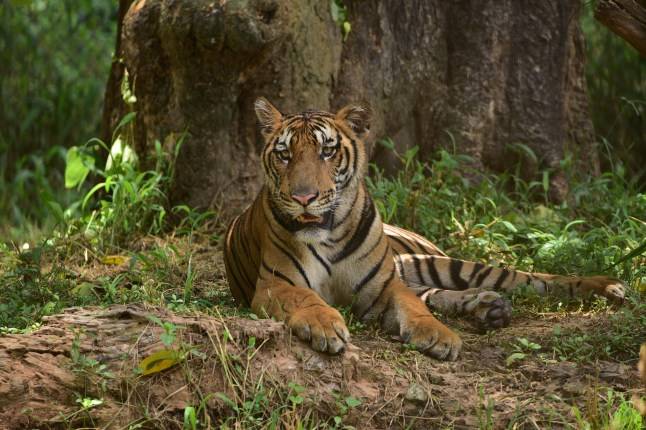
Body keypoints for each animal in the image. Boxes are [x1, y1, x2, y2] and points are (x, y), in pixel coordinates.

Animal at [223, 97, 626, 361]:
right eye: (284, 154)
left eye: (327, 151)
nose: (304, 197)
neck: (329, 234)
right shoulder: (275, 285)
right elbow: (307, 298)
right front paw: (324, 325)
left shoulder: (384, 286)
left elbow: (414, 309)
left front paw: (439, 336)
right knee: (438, 293)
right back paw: (489, 308)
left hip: (439, 263)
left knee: (528, 278)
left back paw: (606, 286)